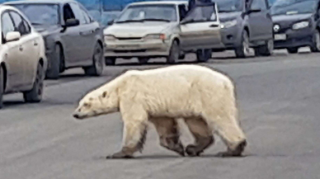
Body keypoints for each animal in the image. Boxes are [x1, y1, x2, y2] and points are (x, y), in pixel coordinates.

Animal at [73, 64, 248, 158]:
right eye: (80, 103)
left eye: (85, 104)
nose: (75, 114)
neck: (120, 85)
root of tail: (227, 82)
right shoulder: (156, 106)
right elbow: (164, 124)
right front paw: (177, 147)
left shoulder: (132, 96)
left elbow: (134, 121)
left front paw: (119, 153)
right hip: (195, 100)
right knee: (196, 121)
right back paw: (193, 148)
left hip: (209, 93)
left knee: (220, 118)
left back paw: (232, 150)